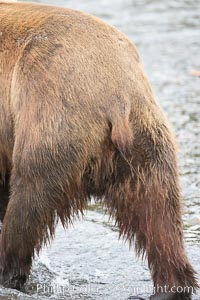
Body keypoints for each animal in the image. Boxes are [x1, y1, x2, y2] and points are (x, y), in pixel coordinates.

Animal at [0, 1, 198, 298]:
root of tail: (115, 98)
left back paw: (8, 272)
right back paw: (171, 286)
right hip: (147, 143)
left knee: (26, 203)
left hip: (49, 122)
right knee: (159, 217)